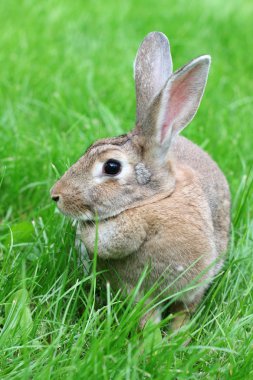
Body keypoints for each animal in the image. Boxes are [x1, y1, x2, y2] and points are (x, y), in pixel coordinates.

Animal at [50, 31, 230, 330]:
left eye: (112, 166)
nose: (56, 195)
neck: (154, 201)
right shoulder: (138, 292)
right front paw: (153, 340)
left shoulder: (195, 286)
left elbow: (183, 313)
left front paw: (177, 339)